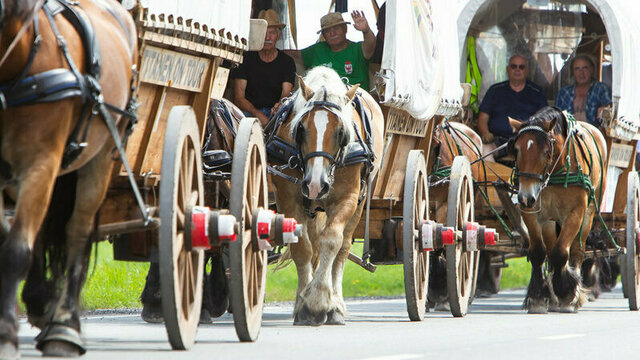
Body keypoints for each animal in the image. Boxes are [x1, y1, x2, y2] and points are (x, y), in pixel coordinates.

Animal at [0, 0, 138, 358]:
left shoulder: (40, 163)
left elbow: (15, 250)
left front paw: (7, 333)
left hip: (101, 159)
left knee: (77, 231)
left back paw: (65, 327)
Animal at [268, 66, 382, 324]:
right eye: (301, 129)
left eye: (341, 132)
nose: (315, 185)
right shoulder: (289, 200)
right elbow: (303, 247)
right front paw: (304, 304)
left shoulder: (347, 198)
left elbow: (331, 241)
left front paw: (320, 301)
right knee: (313, 244)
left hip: (359, 204)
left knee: (343, 248)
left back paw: (336, 304)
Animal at [508, 106, 608, 312]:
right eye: (516, 149)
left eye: (546, 151)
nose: (525, 197)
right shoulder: (532, 213)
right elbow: (539, 252)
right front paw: (538, 297)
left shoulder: (576, 213)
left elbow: (561, 252)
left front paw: (567, 294)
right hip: (549, 220)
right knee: (550, 247)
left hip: (589, 214)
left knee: (577, 250)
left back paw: (573, 295)